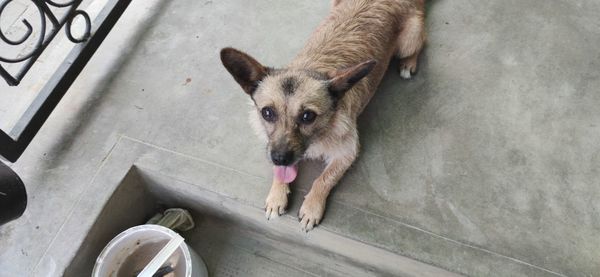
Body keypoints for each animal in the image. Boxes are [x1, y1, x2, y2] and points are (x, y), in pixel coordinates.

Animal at [221, 0, 426, 230]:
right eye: (267, 112)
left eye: (308, 116)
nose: (280, 158)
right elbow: (279, 172)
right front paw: (276, 195)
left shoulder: (347, 152)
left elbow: (324, 179)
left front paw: (312, 207)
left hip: (410, 40)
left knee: (421, 42)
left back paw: (408, 64)